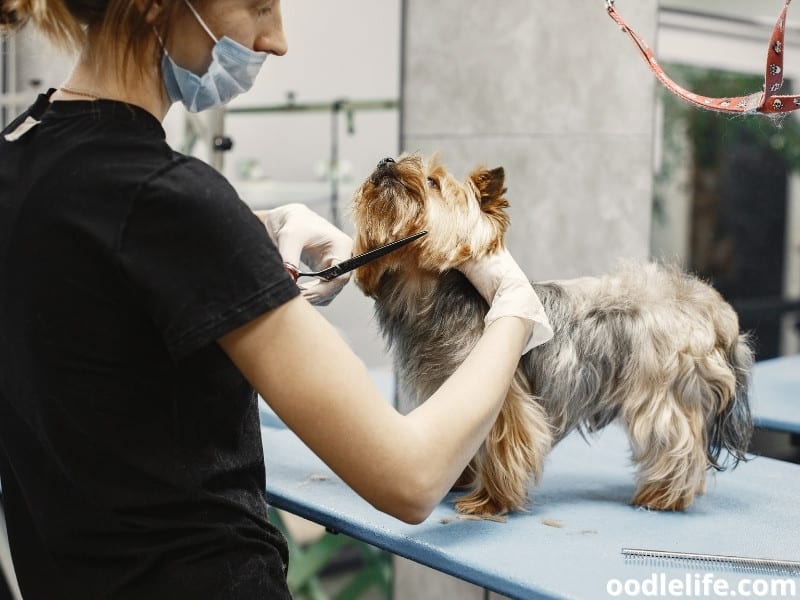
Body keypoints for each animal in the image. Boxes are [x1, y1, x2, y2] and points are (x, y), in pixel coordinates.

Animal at [346, 154, 752, 516]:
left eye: (432, 181)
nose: (385, 161)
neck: (428, 296)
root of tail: (712, 308)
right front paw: (458, 478)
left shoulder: (503, 399)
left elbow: (502, 444)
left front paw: (489, 502)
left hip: (663, 391)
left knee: (677, 440)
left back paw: (663, 496)